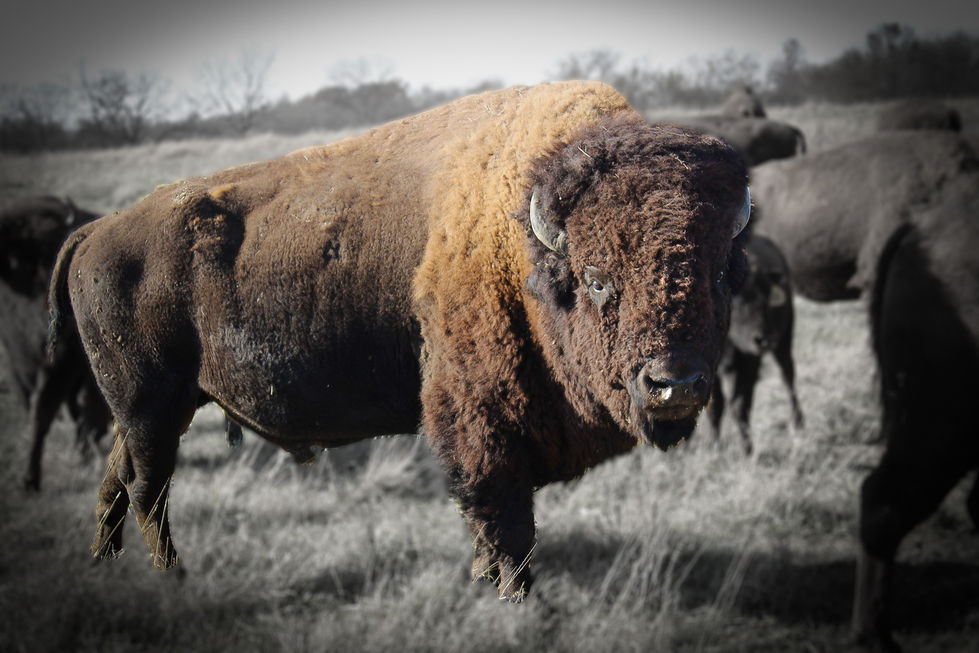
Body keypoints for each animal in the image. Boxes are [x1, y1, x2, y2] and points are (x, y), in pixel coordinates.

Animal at [48, 81, 751, 599]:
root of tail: (97, 232)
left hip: (148, 411)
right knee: (148, 489)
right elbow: (505, 520)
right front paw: (515, 599)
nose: (674, 384)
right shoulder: (481, 426)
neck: (522, 242)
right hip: (149, 408)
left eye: (720, 271)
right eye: (599, 278)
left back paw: (104, 567)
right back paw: (175, 580)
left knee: (117, 481)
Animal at [708, 233, 802, 454]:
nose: (764, 339)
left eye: (767, 299)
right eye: (738, 299)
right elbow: (716, 408)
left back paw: (797, 425)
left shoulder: (749, 363)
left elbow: (741, 406)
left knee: (788, 376)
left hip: (785, 340)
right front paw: (715, 448)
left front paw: (747, 450)